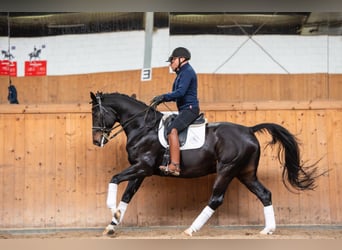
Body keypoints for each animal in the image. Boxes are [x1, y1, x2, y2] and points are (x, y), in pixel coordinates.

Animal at [90, 91, 318, 235]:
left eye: (96, 113)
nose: (96, 140)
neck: (142, 127)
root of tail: (249, 130)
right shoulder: (141, 170)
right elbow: (127, 195)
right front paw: (113, 223)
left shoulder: (143, 167)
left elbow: (114, 178)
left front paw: (111, 208)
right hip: (245, 173)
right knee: (264, 194)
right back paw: (268, 230)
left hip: (227, 169)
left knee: (216, 199)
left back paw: (191, 229)